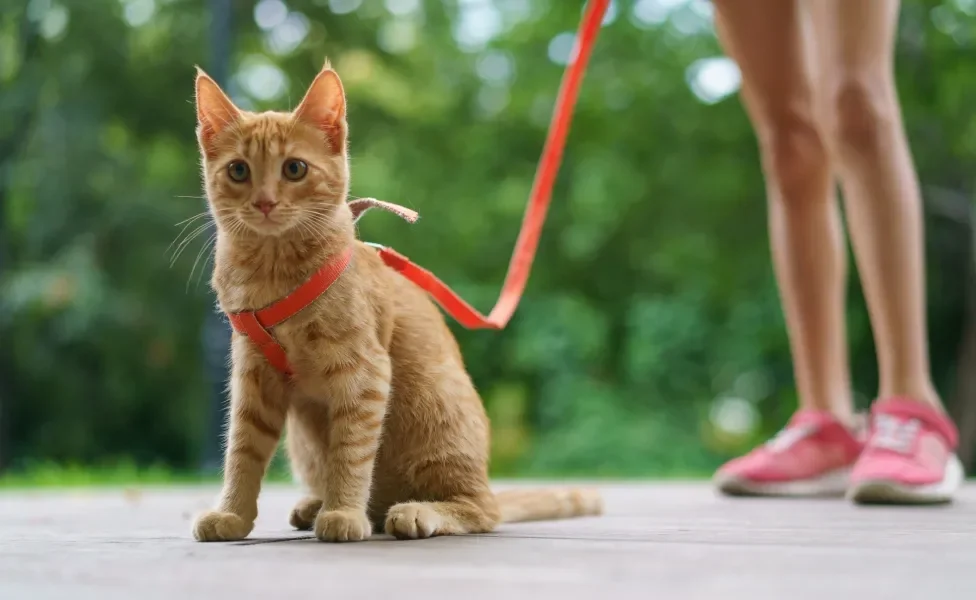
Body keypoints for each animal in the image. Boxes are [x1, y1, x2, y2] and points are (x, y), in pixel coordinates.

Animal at [191, 62, 604, 544]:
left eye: (294, 168)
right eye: (238, 171)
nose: (264, 202)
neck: (272, 272)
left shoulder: (364, 372)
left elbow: (351, 451)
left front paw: (344, 513)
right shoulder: (254, 376)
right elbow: (242, 450)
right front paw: (232, 515)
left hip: (436, 412)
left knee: (481, 509)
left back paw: (413, 511)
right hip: (304, 440)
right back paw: (315, 505)